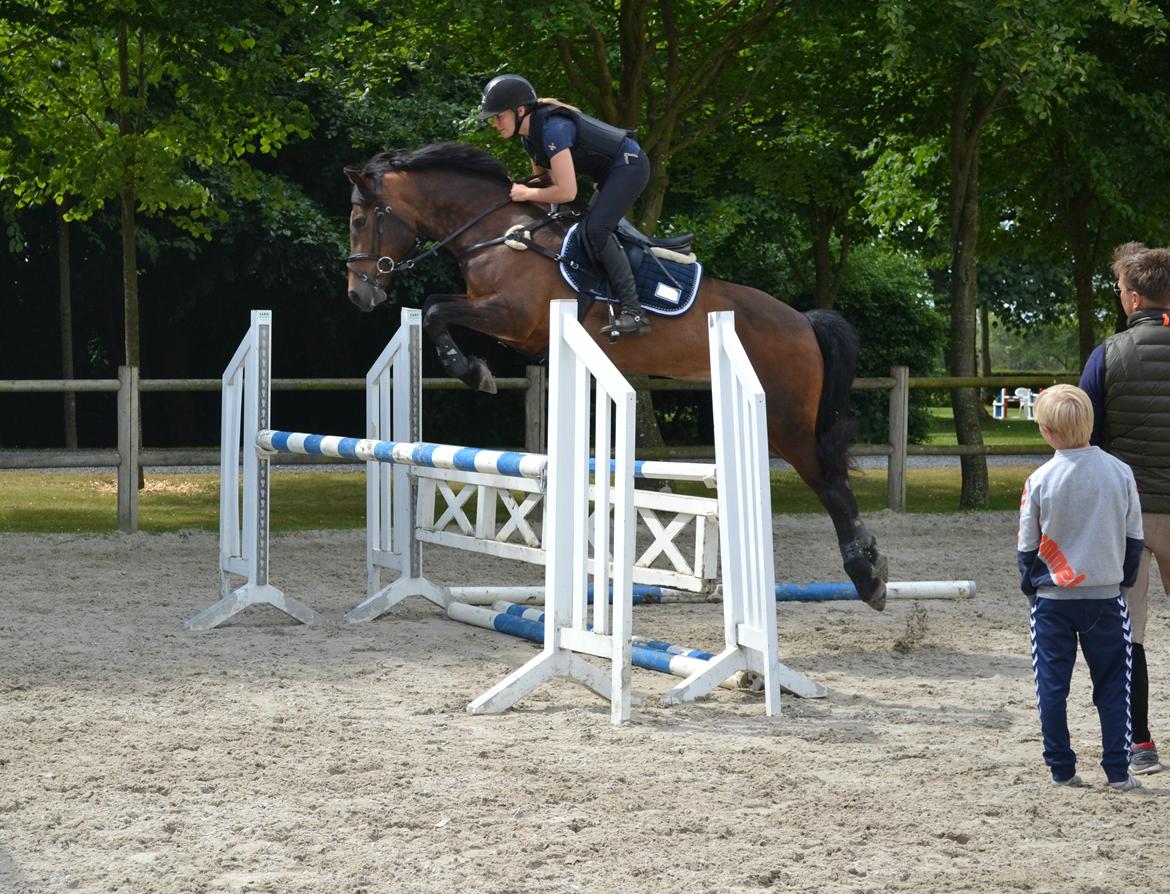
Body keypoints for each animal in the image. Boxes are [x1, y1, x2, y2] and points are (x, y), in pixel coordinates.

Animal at [341, 143, 889, 613]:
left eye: (360, 220)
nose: (358, 295)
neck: (498, 233)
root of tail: (804, 321)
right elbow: (435, 305)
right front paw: (472, 368)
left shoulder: (513, 319)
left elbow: (436, 310)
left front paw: (471, 371)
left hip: (787, 421)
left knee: (830, 481)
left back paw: (868, 577)